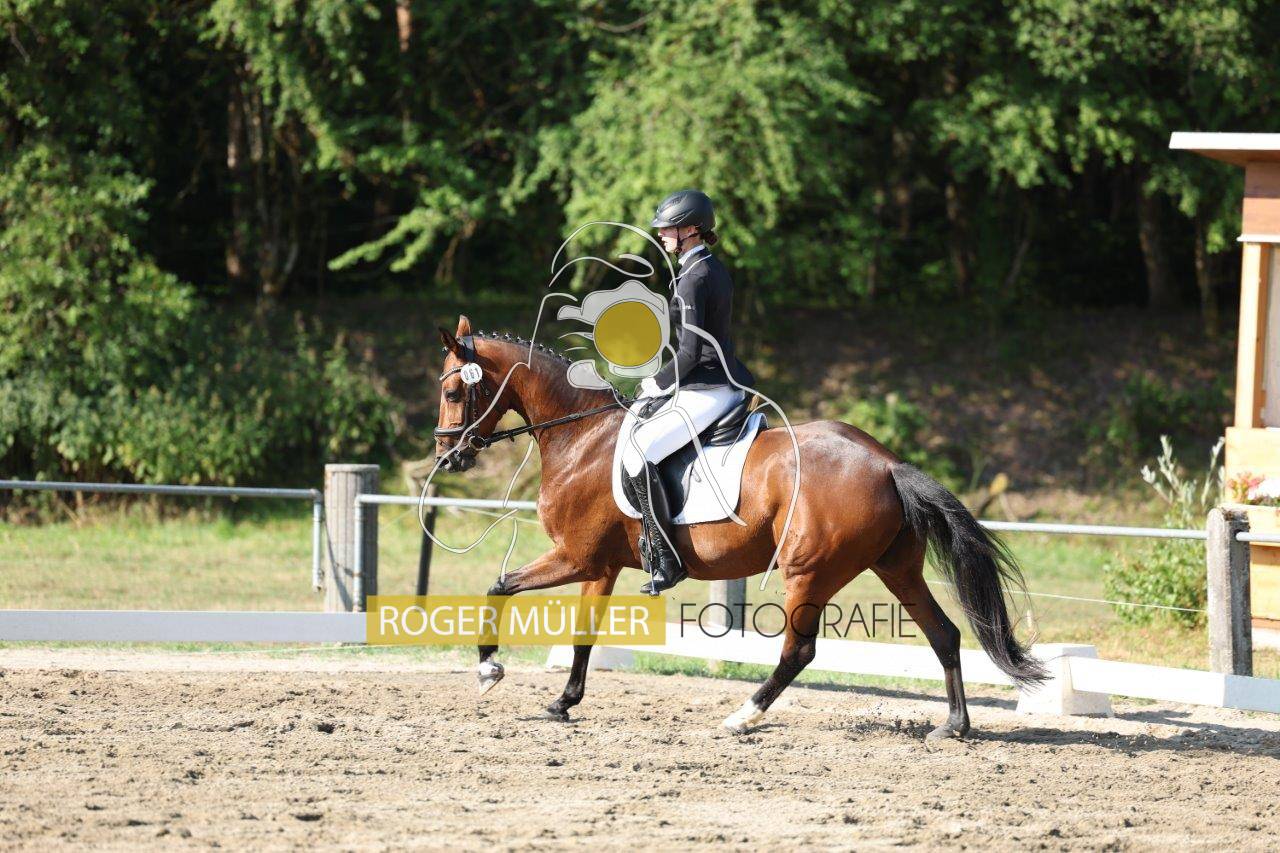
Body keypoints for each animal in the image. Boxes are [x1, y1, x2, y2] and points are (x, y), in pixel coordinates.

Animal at [432, 315, 1046, 740]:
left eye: (453, 391)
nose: (447, 459)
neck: (580, 437)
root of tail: (886, 463)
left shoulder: (576, 556)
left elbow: (499, 585)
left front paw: (489, 669)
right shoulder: (599, 567)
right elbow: (581, 633)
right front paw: (563, 702)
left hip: (809, 570)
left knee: (799, 651)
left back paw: (742, 716)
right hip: (895, 568)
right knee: (944, 634)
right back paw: (954, 726)